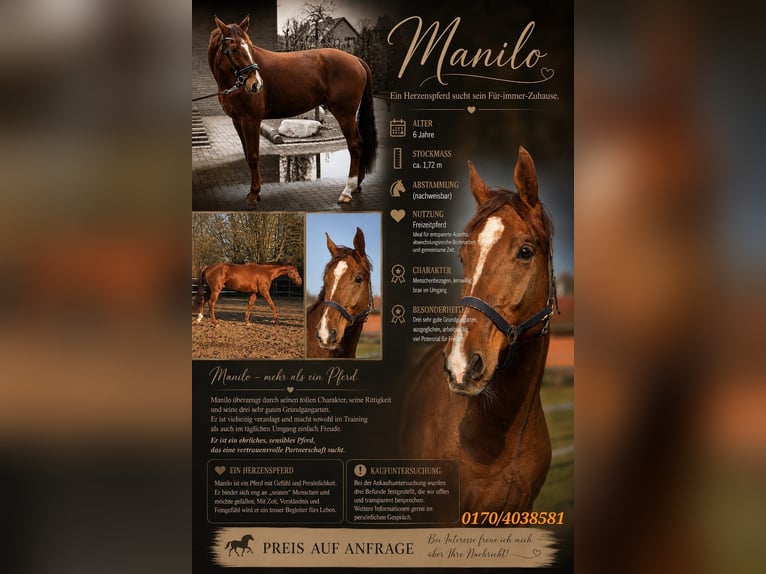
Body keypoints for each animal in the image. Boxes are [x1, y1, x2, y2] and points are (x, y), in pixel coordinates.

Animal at [208, 15, 378, 204]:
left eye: (250, 46)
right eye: (233, 49)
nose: (256, 84)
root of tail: (356, 60)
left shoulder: (251, 120)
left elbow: (253, 155)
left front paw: (254, 193)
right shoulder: (237, 121)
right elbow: (247, 154)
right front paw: (254, 191)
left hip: (345, 114)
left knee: (355, 145)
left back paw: (347, 191)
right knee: (361, 142)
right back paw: (357, 185)